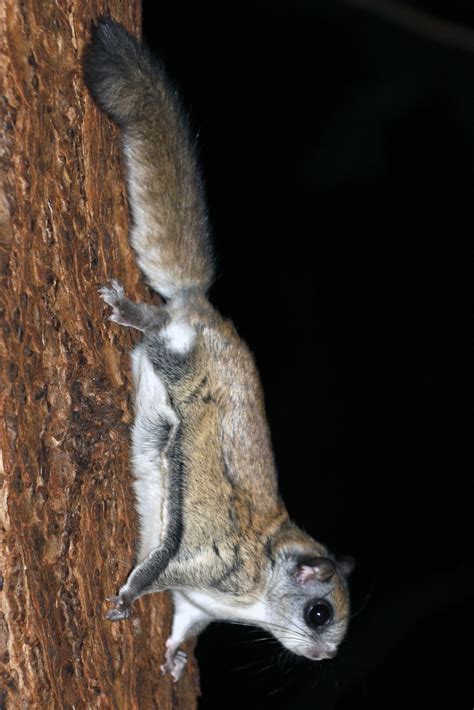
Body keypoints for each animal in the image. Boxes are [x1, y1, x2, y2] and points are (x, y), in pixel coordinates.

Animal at [83, 16, 354, 684]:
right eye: (318, 613)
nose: (327, 655)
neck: (257, 589)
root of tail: (206, 311)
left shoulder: (196, 603)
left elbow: (184, 624)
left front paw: (175, 659)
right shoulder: (201, 561)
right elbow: (154, 571)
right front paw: (127, 599)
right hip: (179, 355)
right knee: (160, 327)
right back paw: (132, 312)